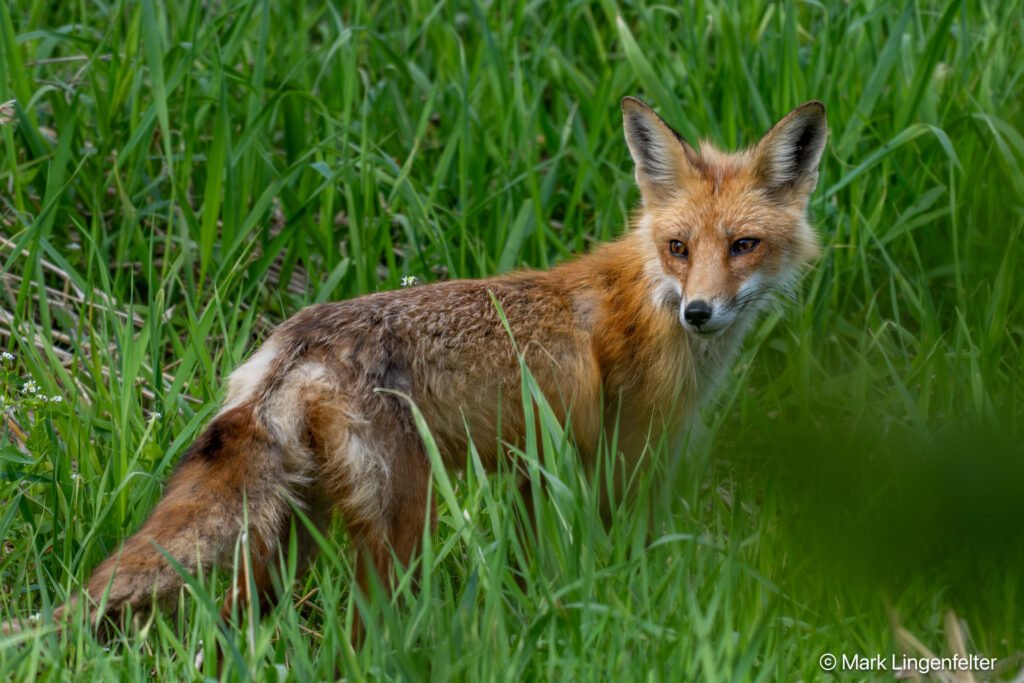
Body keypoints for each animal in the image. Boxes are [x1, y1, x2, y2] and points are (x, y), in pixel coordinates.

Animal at [3, 97, 826, 638]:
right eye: (680, 247)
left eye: (744, 245)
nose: (700, 312)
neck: (647, 296)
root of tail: (293, 343)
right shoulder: (624, 465)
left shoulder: (542, 470)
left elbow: (538, 570)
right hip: (402, 528)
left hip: (288, 534)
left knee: (237, 620)